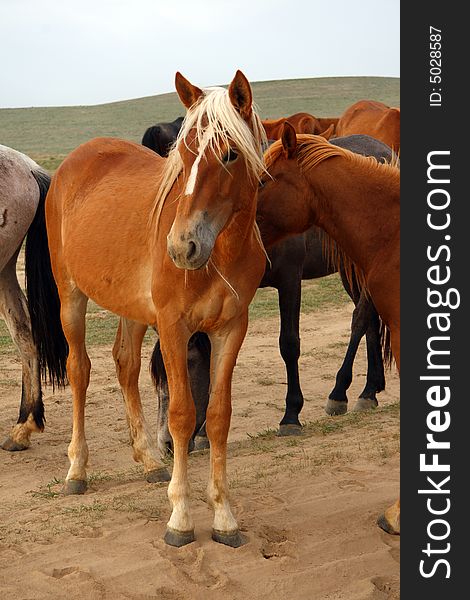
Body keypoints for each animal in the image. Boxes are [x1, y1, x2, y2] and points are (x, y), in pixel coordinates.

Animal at [25, 71, 268, 548]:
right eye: (184, 154)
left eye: (230, 154)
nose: (182, 246)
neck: (221, 254)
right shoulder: (173, 328)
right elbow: (181, 415)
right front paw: (180, 518)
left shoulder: (231, 329)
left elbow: (217, 417)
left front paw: (224, 517)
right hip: (71, 298)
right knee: (79, 369)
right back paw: (77, 470)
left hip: (131, 308)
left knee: (125, 365)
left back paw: (150, 460)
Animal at [258, 125, 400, 536]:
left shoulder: (289, 279)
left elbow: (289, 344)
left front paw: (291, 415)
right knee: (370, 322)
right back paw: (369, 388)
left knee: (361, 318)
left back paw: (344, 391)